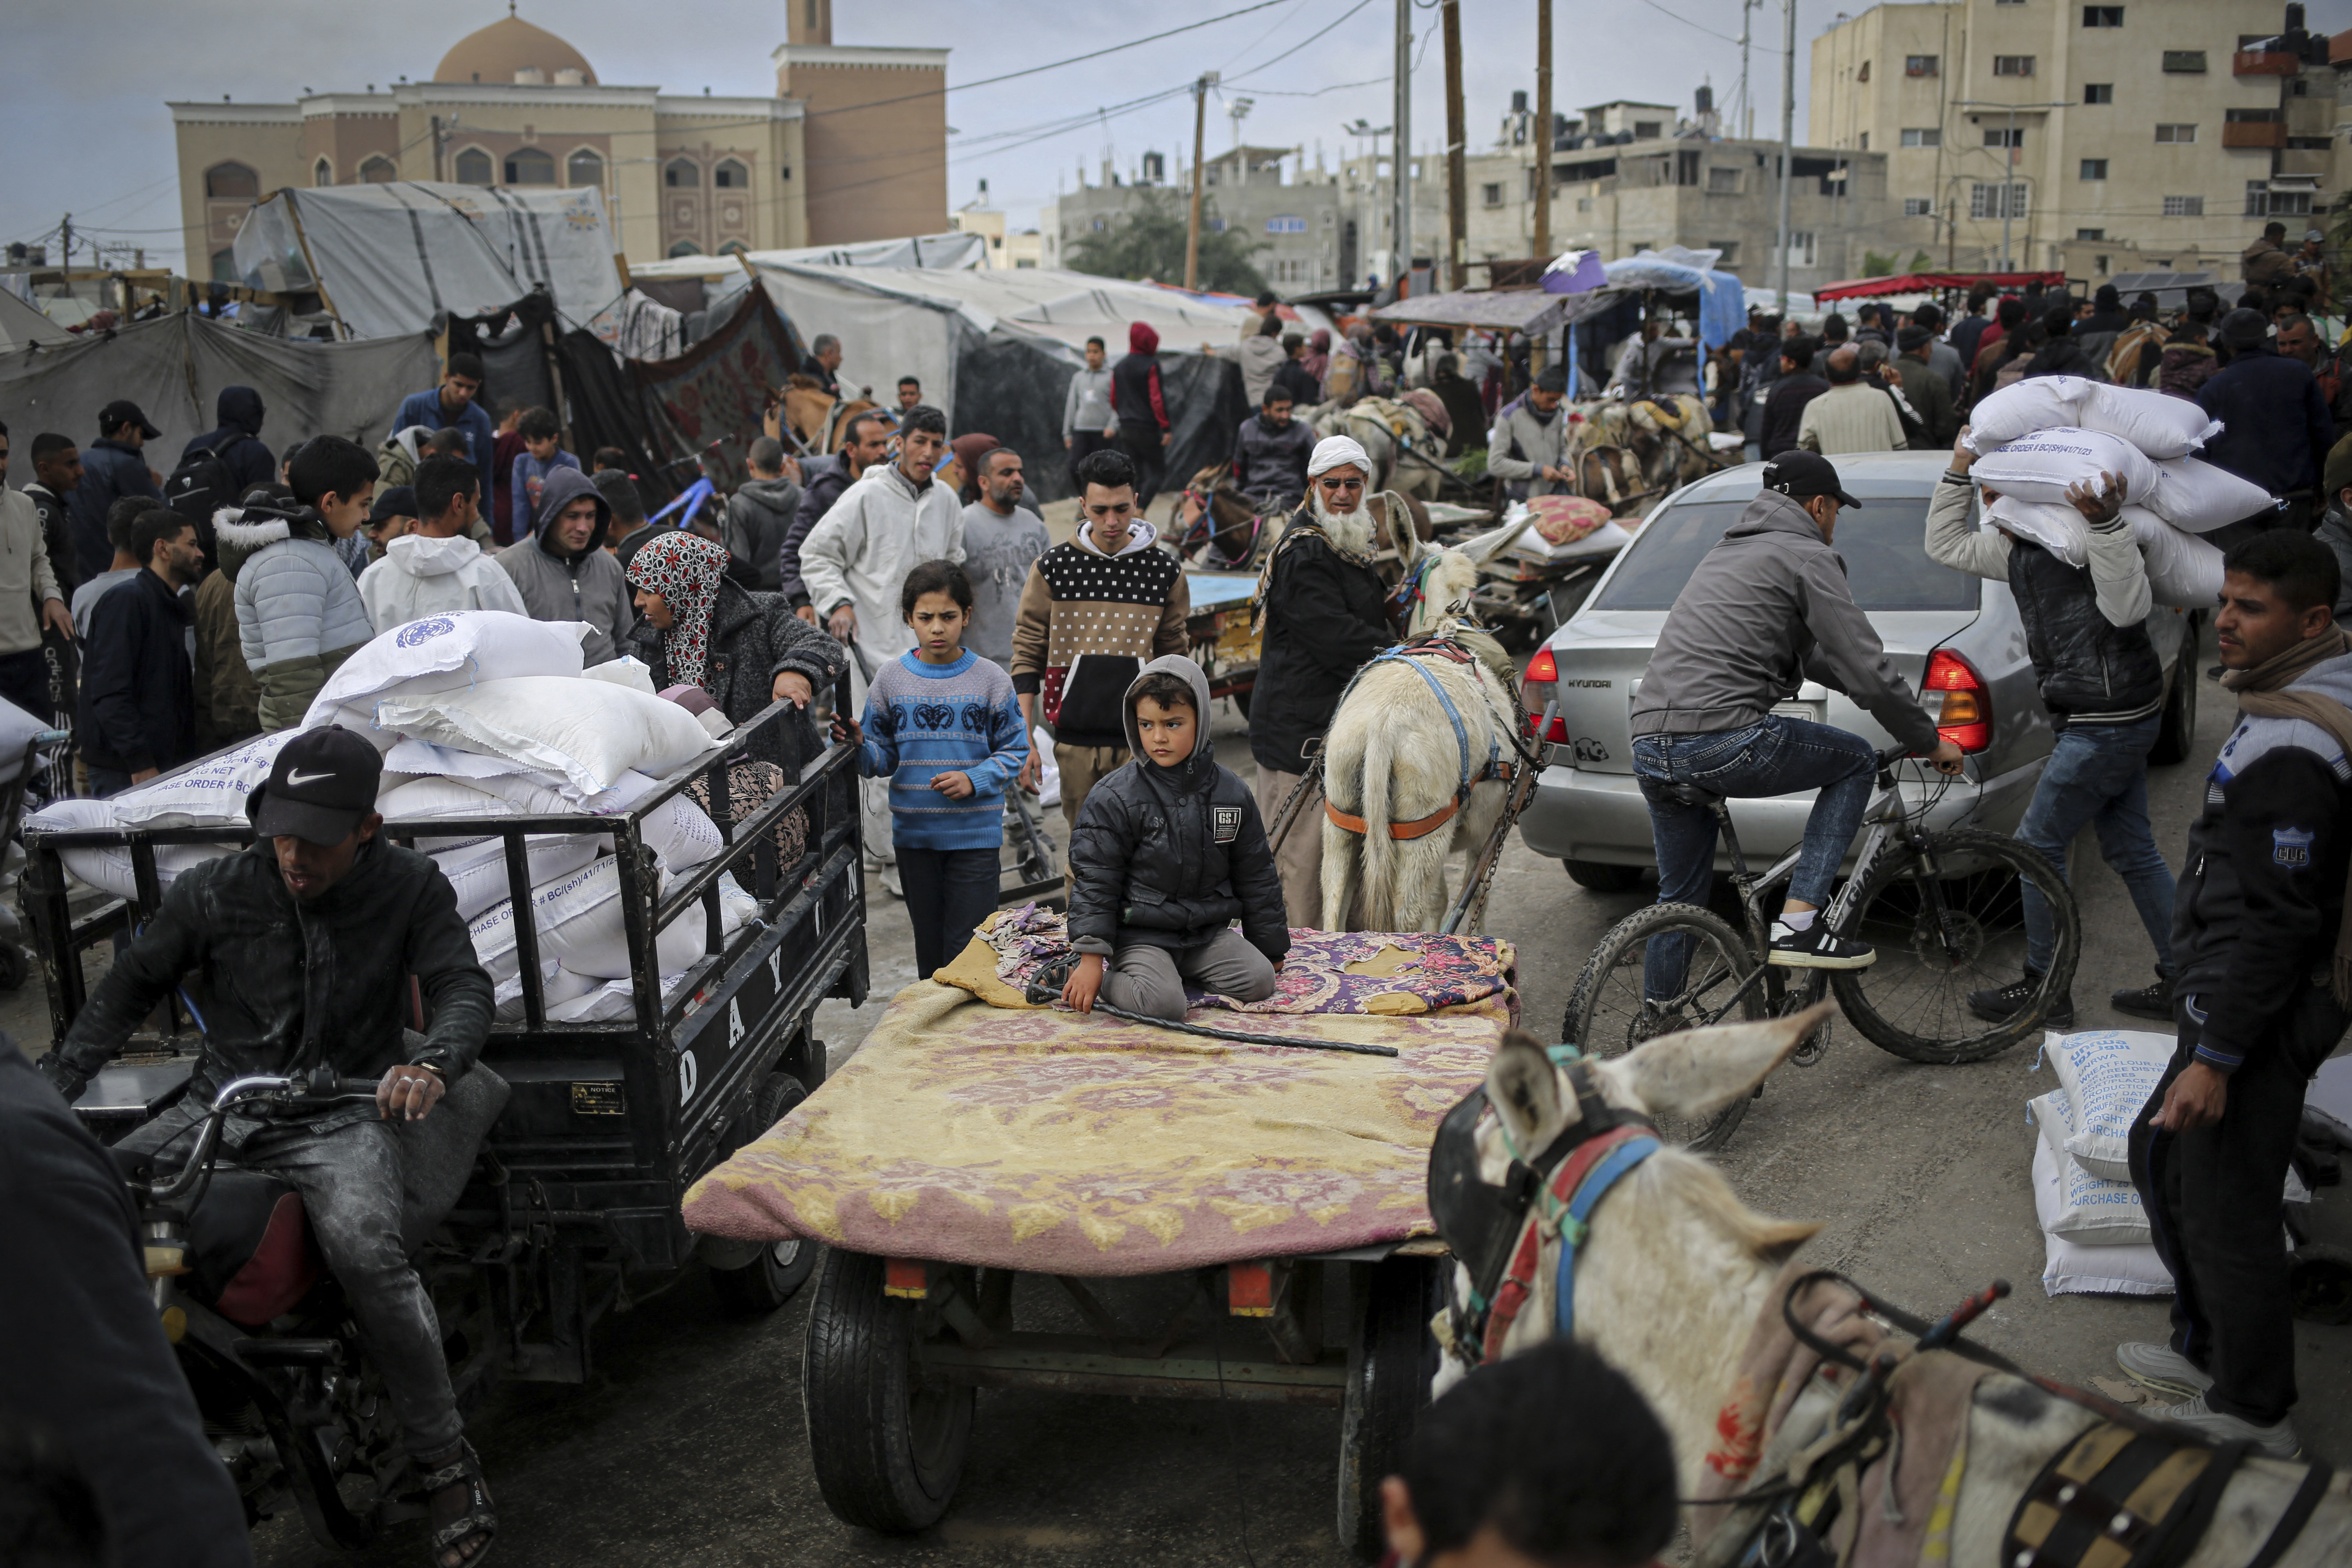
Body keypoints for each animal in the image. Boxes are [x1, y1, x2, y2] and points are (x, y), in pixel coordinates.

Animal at [1326, 514, 1524, 940]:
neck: (1446, 626)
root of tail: (1382, 729)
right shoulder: (1489, 827)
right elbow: (1473, 896)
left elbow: (1443, 897)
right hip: (1423, 832)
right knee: (1407, 920)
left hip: (1341, 822)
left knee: (1331, 915)